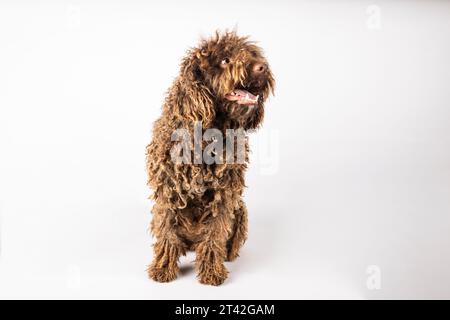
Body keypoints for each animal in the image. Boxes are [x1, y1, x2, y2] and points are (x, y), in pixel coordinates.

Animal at [146, 30, 276, 284]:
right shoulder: (168, 188)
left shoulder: (224, 196)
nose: (262, 67)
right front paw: (163, 268)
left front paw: (211, 270)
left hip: (240, 209)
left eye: (252, 53)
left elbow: (215, 233)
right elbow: (167, 231)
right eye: (225, 60)